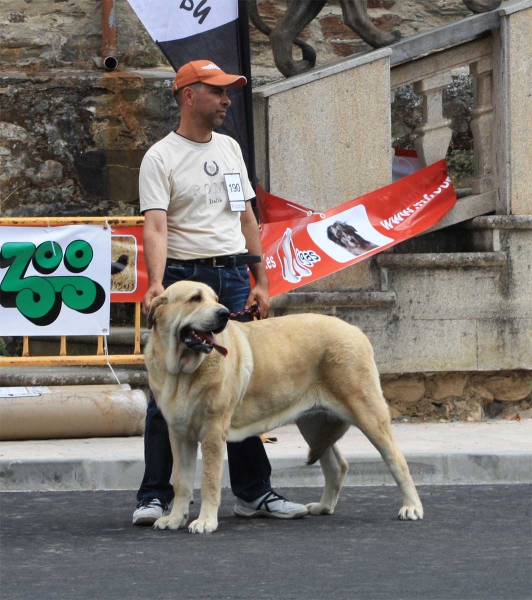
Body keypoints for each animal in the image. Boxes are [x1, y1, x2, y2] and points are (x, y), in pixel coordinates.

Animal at [145, 282, 424, 536]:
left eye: (216, 299)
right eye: (195, 298)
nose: (224, 313)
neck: (182, 373)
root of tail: (355, 330)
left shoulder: (213, 432)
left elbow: (209, 480)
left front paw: (205, 521)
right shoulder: (179, 435)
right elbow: (181, 481)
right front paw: (175, 518)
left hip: (367, 412)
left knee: (396, 460)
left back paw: (411, 507)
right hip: (313, 423)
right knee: (337, 466)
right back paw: (323, 506)